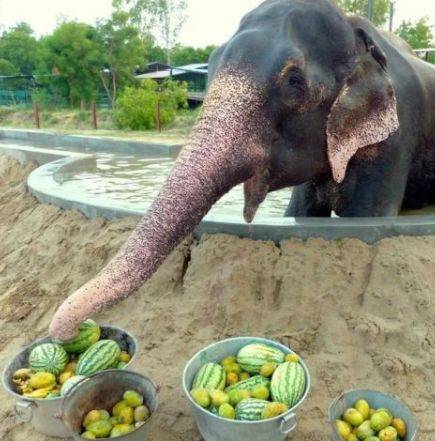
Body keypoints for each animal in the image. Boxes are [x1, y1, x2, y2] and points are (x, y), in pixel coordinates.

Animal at [49, 0, 435, 338]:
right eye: (210, 63)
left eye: (294, 82)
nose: (69, 331)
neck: (356, 30)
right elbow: (300, 212)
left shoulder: (394, 139)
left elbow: (367, 217)